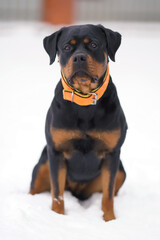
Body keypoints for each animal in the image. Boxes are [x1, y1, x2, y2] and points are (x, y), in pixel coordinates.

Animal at [29, 23, 127, 221]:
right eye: (67, 47)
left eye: (94, 45)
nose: (79, 57)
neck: (84, 101)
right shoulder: (56, 151)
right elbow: (57, 193)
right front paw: (58, 216)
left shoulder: (112, 153)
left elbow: (108, 194)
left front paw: (109, 219)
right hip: (43, 163)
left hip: (121, 171)